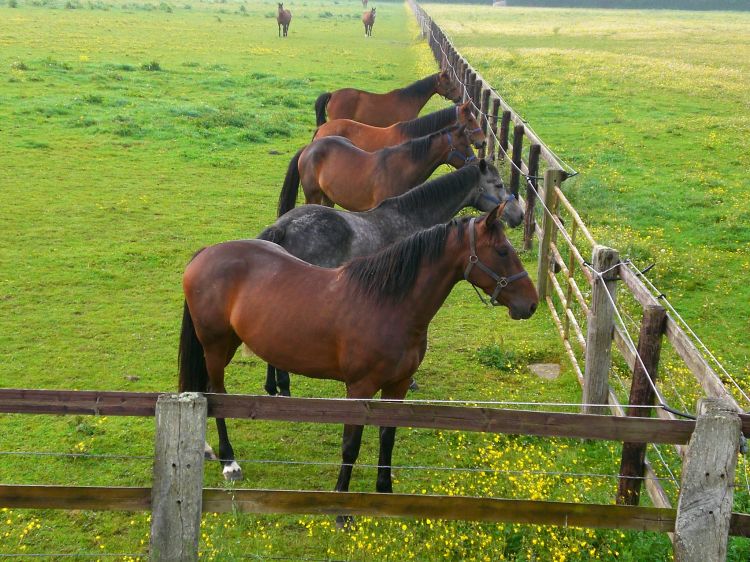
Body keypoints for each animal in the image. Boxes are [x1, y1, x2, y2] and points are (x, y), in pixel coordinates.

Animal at [178, 206, 536, 504]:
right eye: (502, 251)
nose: (531, 303)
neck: (388, 304)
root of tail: (206, 253)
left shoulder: (398, 387)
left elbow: (387, 437)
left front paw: (385, 494)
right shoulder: (359, 389)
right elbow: (351, 444)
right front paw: (342, 505)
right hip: (216, 346)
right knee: (217, 393)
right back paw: (229, 461)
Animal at [276, 124, 476, 214]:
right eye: (465, 144)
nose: (476, 162)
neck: (401, 169)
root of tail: (309, 148)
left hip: (328, 197)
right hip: (313, 195)